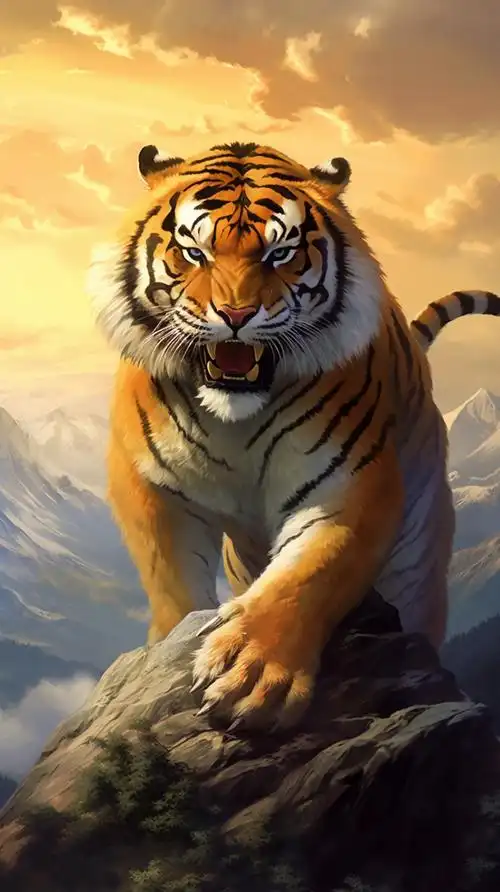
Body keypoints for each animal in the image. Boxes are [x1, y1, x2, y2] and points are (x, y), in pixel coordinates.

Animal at [88, 140, 500, 731]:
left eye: (280, 254)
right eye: (194, 251)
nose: (235, 315)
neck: (233, 417)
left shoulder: (349, 485)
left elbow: (311, 574)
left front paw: (255, 672)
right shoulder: (150, 487)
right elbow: (172, 584)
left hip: (418, 558)